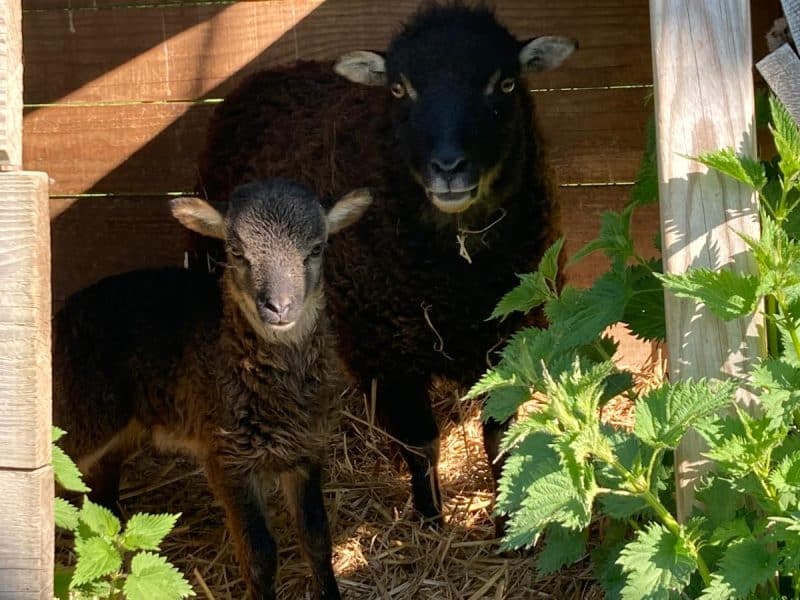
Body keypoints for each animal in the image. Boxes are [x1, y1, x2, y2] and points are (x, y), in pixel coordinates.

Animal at [53, 179, 372, 599]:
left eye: (317, 249)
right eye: (236, 252)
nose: (279, 306)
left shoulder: (306, 449)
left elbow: (317, 537)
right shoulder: (227, 458)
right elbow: (260, 556)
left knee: (100, 489)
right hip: (83, 412)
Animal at [194, 3, 576, 530]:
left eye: (504, 83)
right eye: (399, 89)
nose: (449, 168)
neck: (455, 275)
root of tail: (272, 72)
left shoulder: (504, 342)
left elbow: (498, 438)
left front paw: (503, 520)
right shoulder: (386, 351)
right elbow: (420, 444)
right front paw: (431, 519)